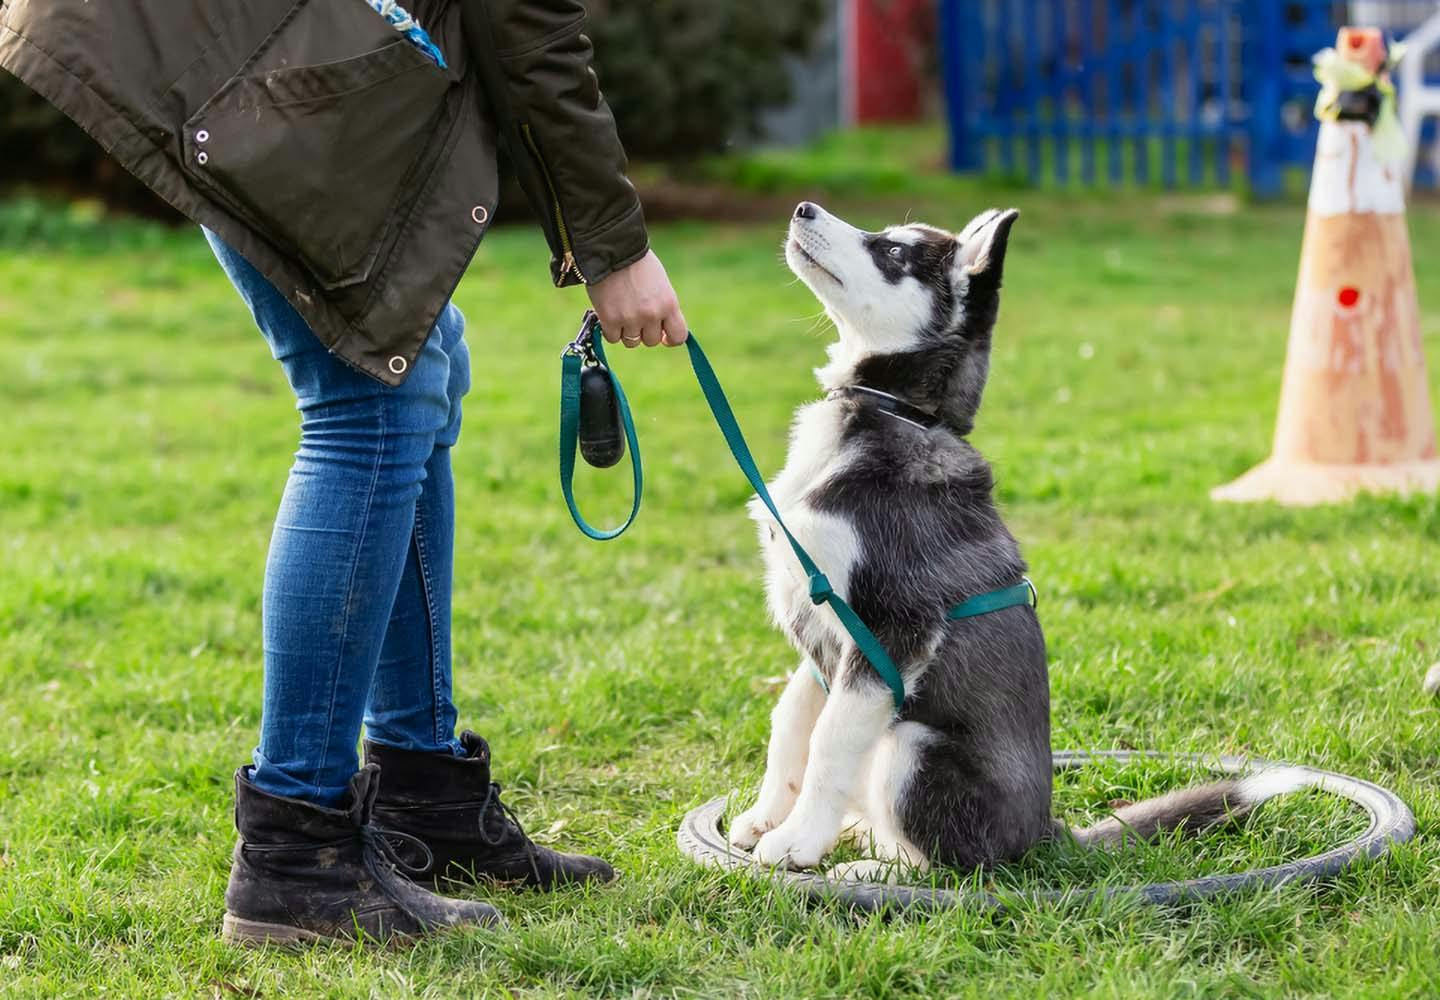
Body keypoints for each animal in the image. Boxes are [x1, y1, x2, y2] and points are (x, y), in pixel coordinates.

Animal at [731, 201, 1307, 876]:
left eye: (893, 252)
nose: (804, 208)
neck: (895, 412)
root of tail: (1044, 833)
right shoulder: (822, 632)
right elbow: (791, 720)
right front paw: (766, 816)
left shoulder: (891, 630)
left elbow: (828, 739)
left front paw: (797, 841)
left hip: (913, 746)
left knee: (952, 864)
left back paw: (872, 866)